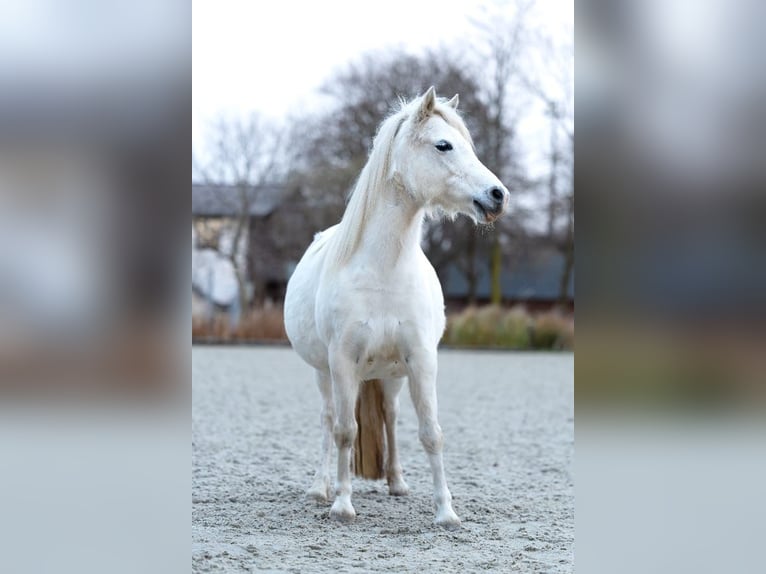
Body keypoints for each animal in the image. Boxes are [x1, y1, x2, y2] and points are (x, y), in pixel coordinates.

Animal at [284, 88, 508, 528]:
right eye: (443, 145)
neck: (384, 269)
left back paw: (397, 482)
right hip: (324, 373)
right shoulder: (342, 362)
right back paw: (321, 488)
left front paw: (446, 512)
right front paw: (342, 505)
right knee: (327, 420)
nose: (497, 195)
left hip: (390, 377)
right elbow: (345, 431)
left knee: (389, 417)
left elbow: (430, 433)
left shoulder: (420, 359)